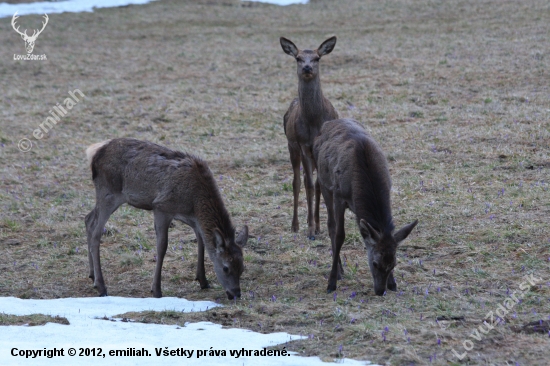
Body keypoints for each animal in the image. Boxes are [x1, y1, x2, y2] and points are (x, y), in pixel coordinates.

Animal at [84, 139, 248, 298]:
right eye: (226, 268)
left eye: (242, 268)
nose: (236, 294)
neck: (195, 202)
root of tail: (94, 154)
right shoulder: (162, 206)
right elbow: (162, 246)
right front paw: (156, 289)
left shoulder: (191, 218)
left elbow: (201, 241)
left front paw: (203, 280)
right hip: (109, 192)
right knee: (96, 231)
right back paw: (101, 286)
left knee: (88, 219)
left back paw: (92, 276)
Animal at [282, 34, 338, 240]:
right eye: (298, 58)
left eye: (317, 58)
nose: (307, 68)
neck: (314, 122)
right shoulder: (303, 144)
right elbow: (309, 185)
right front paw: (312, 229)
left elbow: (320, 184)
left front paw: (321, 226)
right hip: (292, 146)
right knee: (297, 182)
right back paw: (296, 225)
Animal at [314, 118, 418, 296]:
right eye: (375, 263)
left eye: (394, 264)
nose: (380, 291)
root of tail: (329, 122)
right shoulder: (339, 194)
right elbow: (339, 235)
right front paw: (331, 283)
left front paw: (393, 283)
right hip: (324, 183)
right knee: (331, 226)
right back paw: (339, 271)